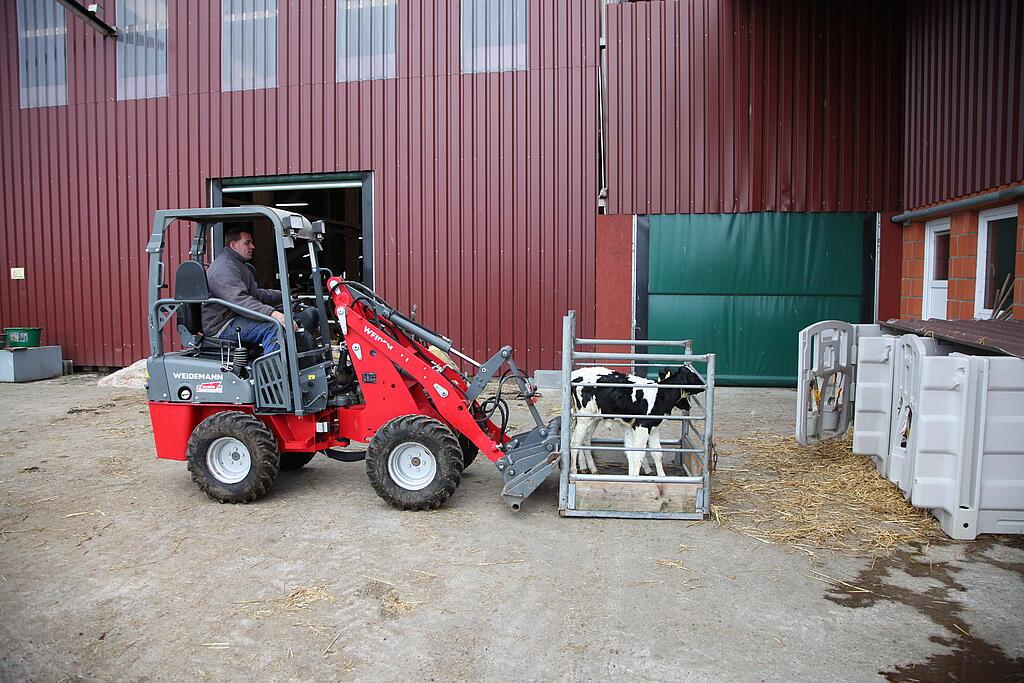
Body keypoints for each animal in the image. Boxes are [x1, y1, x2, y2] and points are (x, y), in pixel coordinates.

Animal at [569, 366, 704, 479]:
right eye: (692, 377)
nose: (703, 384)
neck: (659, 395)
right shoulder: (642, 426)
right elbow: (639, 454)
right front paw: (635, 478)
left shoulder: (653, 428)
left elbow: (656, 453)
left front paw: (662, 477)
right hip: (583, 418)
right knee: (575, 442)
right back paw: (574, 471)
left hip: (593, 418)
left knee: (585, 439)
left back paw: (591, 468)